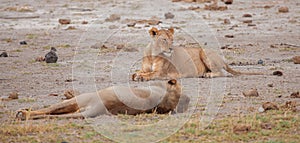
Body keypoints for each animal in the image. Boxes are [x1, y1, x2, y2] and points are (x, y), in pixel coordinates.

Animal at [132, 26, 262, 80]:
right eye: (164, 39)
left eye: (172, 40)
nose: (171, 48)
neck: (153, 55)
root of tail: (222, 59)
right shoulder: (145, 68)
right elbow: (138, 72)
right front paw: (137, 75)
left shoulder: (161, 73)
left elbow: (150, 75)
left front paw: (141, 77)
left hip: (204, 53)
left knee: (221, 72)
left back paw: (208, 75)